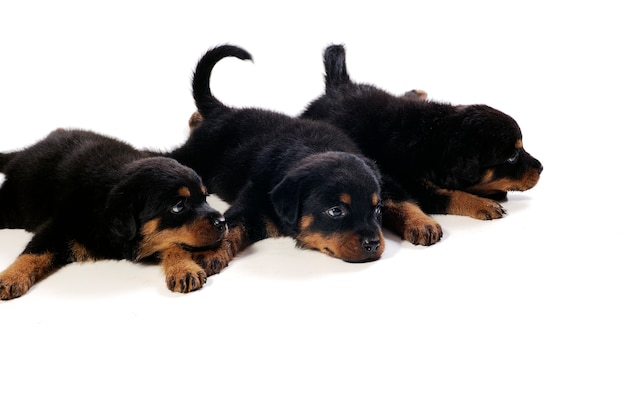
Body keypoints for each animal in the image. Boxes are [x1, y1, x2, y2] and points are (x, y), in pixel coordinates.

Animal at [0, 127, 224, 300]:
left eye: (204, 198)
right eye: (178, 206)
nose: (222, 222)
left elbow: (174, 244)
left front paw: (183, 268)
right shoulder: (59, 224)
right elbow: (33, 252)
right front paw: (10, 278)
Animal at [167, 45, 386, 272]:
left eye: (378, 209)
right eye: (336, 211)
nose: (373, 244)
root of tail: (222, 110)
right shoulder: (251, 202)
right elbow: (229, 227)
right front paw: (211, 253)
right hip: (195, 156)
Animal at [298, 44, 540, 231]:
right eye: (512, 156)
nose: (541, 168)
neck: (435, 138)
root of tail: (337, 85)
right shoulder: (405, 182)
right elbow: (448, 195)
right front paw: (483, 204)